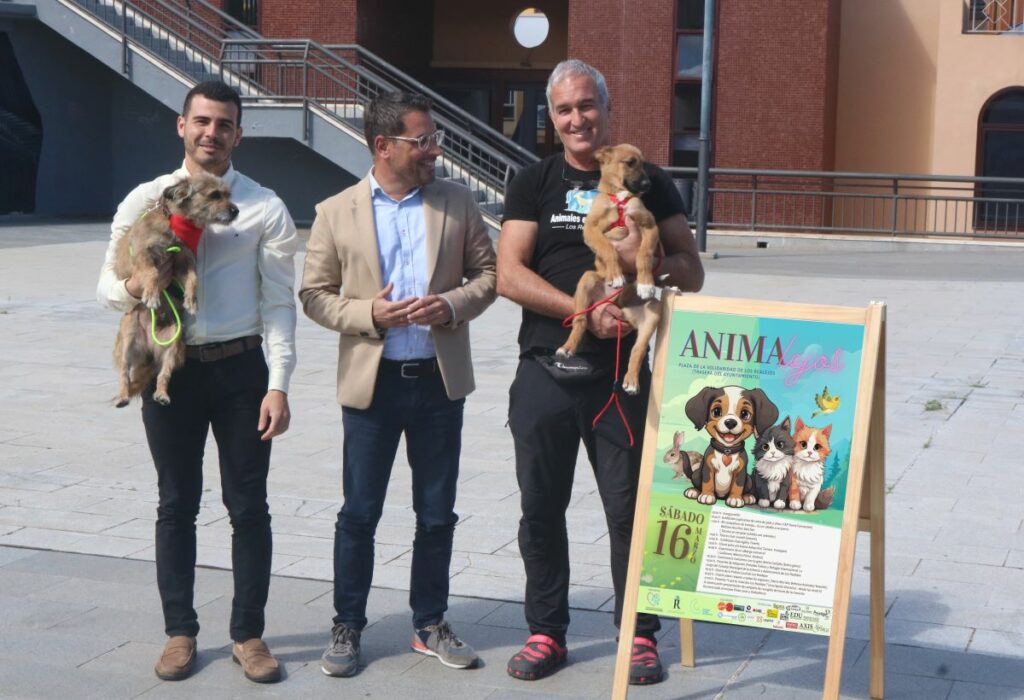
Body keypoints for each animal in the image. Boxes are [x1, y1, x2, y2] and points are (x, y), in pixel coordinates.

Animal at [113, 173, 238, 407]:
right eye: (214, 195)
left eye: (228, 194)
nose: (236, 210)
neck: (175, 225)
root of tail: (149, 350)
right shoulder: (143, 255)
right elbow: (152, 273)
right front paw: (152, 295)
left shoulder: (183, 261)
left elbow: (193, 279)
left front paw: (191, 300)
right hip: (127, 338)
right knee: (124, 372)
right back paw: (123, 396)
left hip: (174, 344)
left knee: (164, 374)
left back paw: (162, 394)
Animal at [556, 144, 662, 394]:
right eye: (630, 162)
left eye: (644, 163)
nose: (648, 185)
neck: (620, 197)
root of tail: (618, 305)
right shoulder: (591, 229)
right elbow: (608, 248)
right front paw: (616, 275)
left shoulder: (649, 225)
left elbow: (644, 254)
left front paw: (645, 283)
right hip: (587, 280)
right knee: (580, 321)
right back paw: (567, 347)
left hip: (653, 311)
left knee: (637, 349)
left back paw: (631, 381)